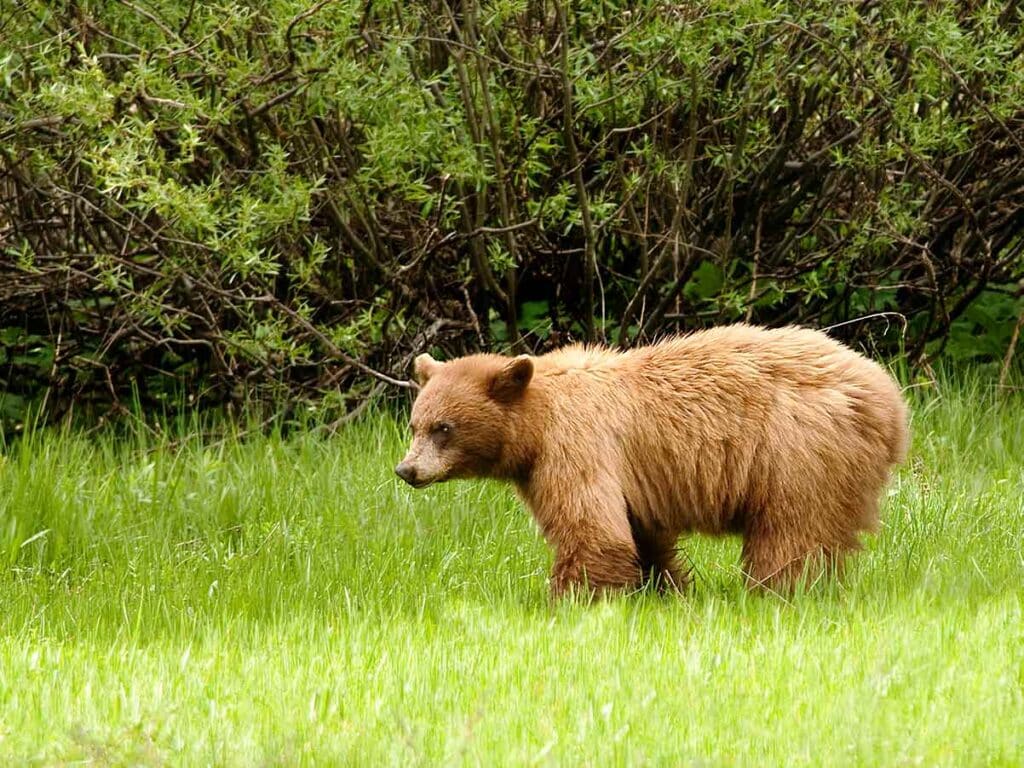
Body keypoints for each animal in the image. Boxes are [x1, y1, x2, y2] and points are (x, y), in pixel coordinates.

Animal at [395, 323, 909, 593]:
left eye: (444, 428)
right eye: (416, 424)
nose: (406, 470)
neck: (535, 424)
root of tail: (892, 405)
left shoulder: (576, 444)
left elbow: (592, 528)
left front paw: (567, 599)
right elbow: (640, 533)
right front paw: (665, 587)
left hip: (799, 450)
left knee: (791, 533)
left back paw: (775, 591)